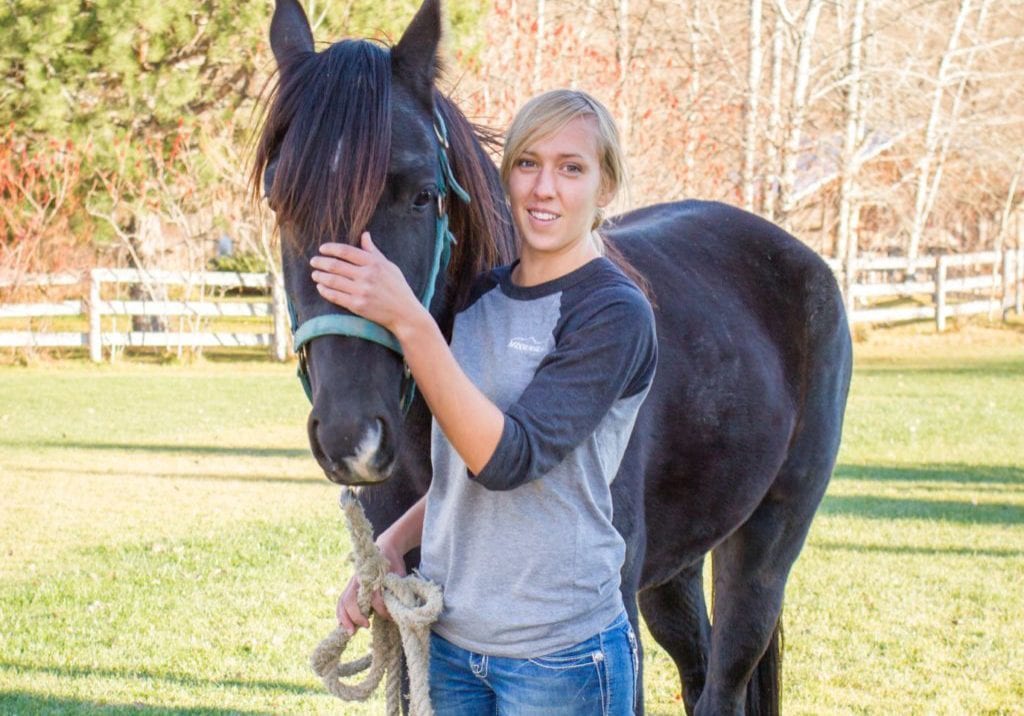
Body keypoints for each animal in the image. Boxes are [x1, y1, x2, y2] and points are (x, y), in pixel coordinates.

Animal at [256, 2, 856, 712]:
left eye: (422, 194)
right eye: (280, 200)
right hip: (676, 569)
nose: (353, 437)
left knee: (727, 674)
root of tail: (804, 260)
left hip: (765, 544)